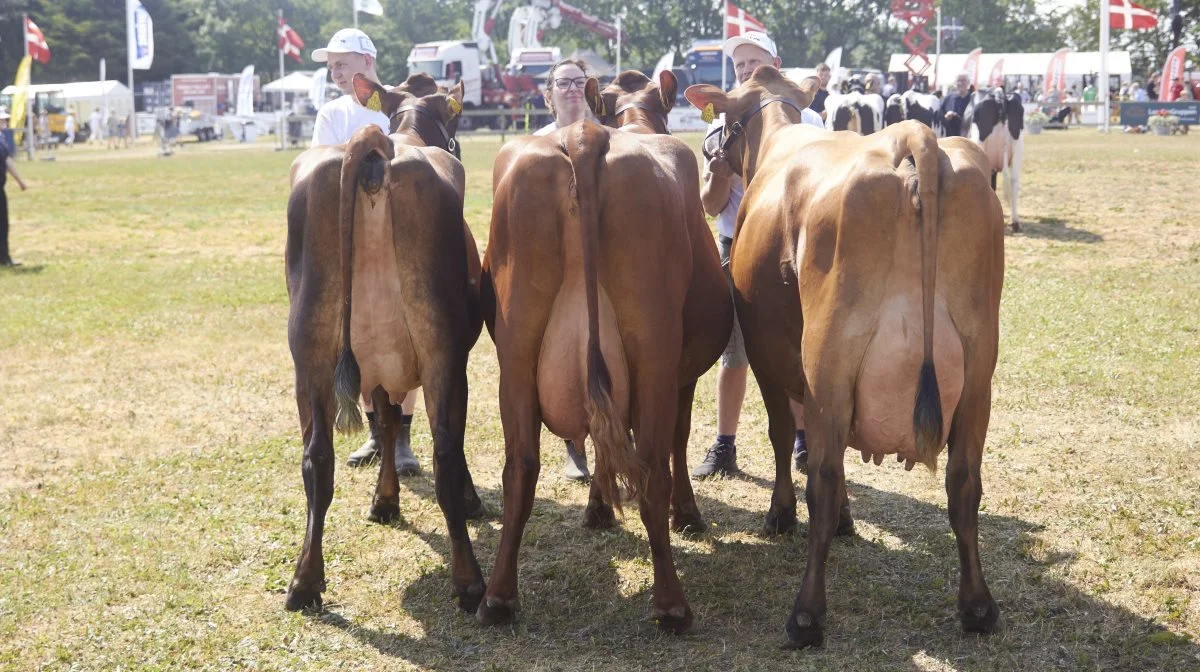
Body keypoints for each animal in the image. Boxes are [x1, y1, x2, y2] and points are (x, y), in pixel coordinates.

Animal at [283, 74, 484, 614]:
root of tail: (374, 143)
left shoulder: (377, 366)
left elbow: (389, 422)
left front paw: (384, 501)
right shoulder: (453, 359)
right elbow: (405, 428)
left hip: (310, 355)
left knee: (317, 457)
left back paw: (304, 582)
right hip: (441, 352)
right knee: (446, 453)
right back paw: (470, 582)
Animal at [477, 112, 729, 633]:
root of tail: (585, 134)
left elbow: (602, 441)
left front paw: (597, 509)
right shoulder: (682, 375)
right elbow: (676, 440)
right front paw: (687, 515)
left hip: (515, 355)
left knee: (521, 467)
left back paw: (497, 598)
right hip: (654, 354)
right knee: (653, 467)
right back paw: (672, 605)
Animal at [686, 66, 1003, 648]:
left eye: (725, 115)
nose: (710, 151)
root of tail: (912, 137)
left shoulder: (769, 350)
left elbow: (785, 435)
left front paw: (781, 516)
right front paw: (848, 522)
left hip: (828, 358)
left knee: (826, 476)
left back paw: (806, 615)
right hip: (977, 372)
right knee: (965, 481)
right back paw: (977, 607)